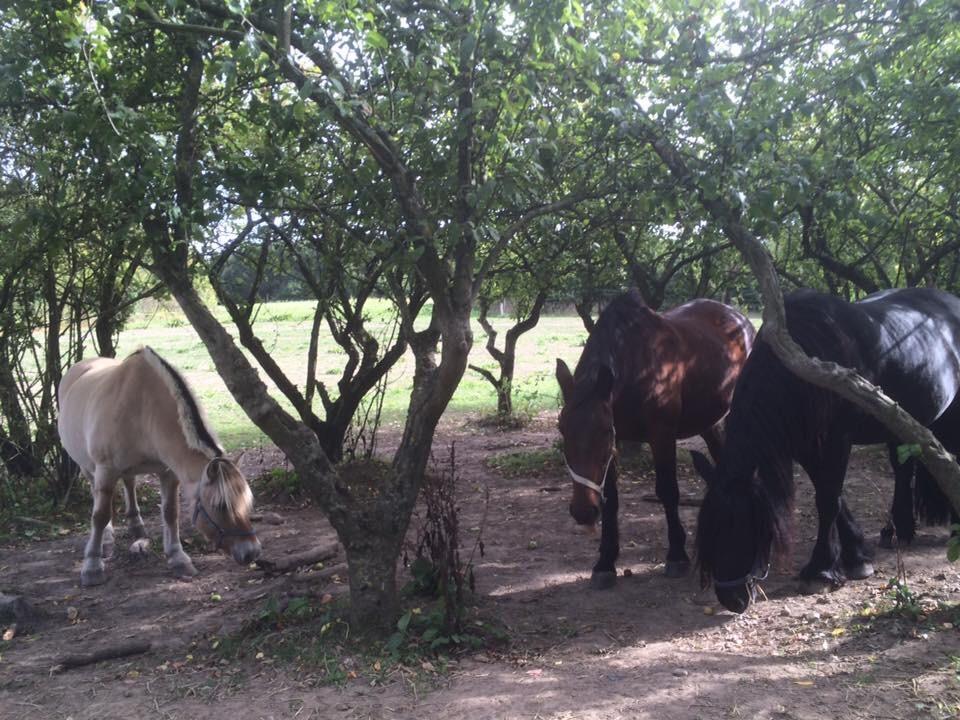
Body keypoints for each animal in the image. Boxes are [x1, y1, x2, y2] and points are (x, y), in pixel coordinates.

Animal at [59, 346, 262, 588]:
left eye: (247, 504)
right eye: (221, 506)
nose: (252, 552)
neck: (142, 409)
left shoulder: (168, 472)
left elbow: (170, 513)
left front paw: (178, 558)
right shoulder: (106, 470)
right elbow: (99, 516)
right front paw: (92, 566)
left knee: (130, 483)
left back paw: (136, 525)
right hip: (89, 467)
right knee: (98, 496)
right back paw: (106, 539)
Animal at [692, 286, 960, 612]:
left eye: (743, 527)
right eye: (708, 530)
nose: (731, 599)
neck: (802, 367)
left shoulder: (837, 440)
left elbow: (828, 500)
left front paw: (820, 570)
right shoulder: (806, 447)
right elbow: (832, 495)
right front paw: (856, 556)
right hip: (900, 421)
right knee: (902, 469)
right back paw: (898, 530)